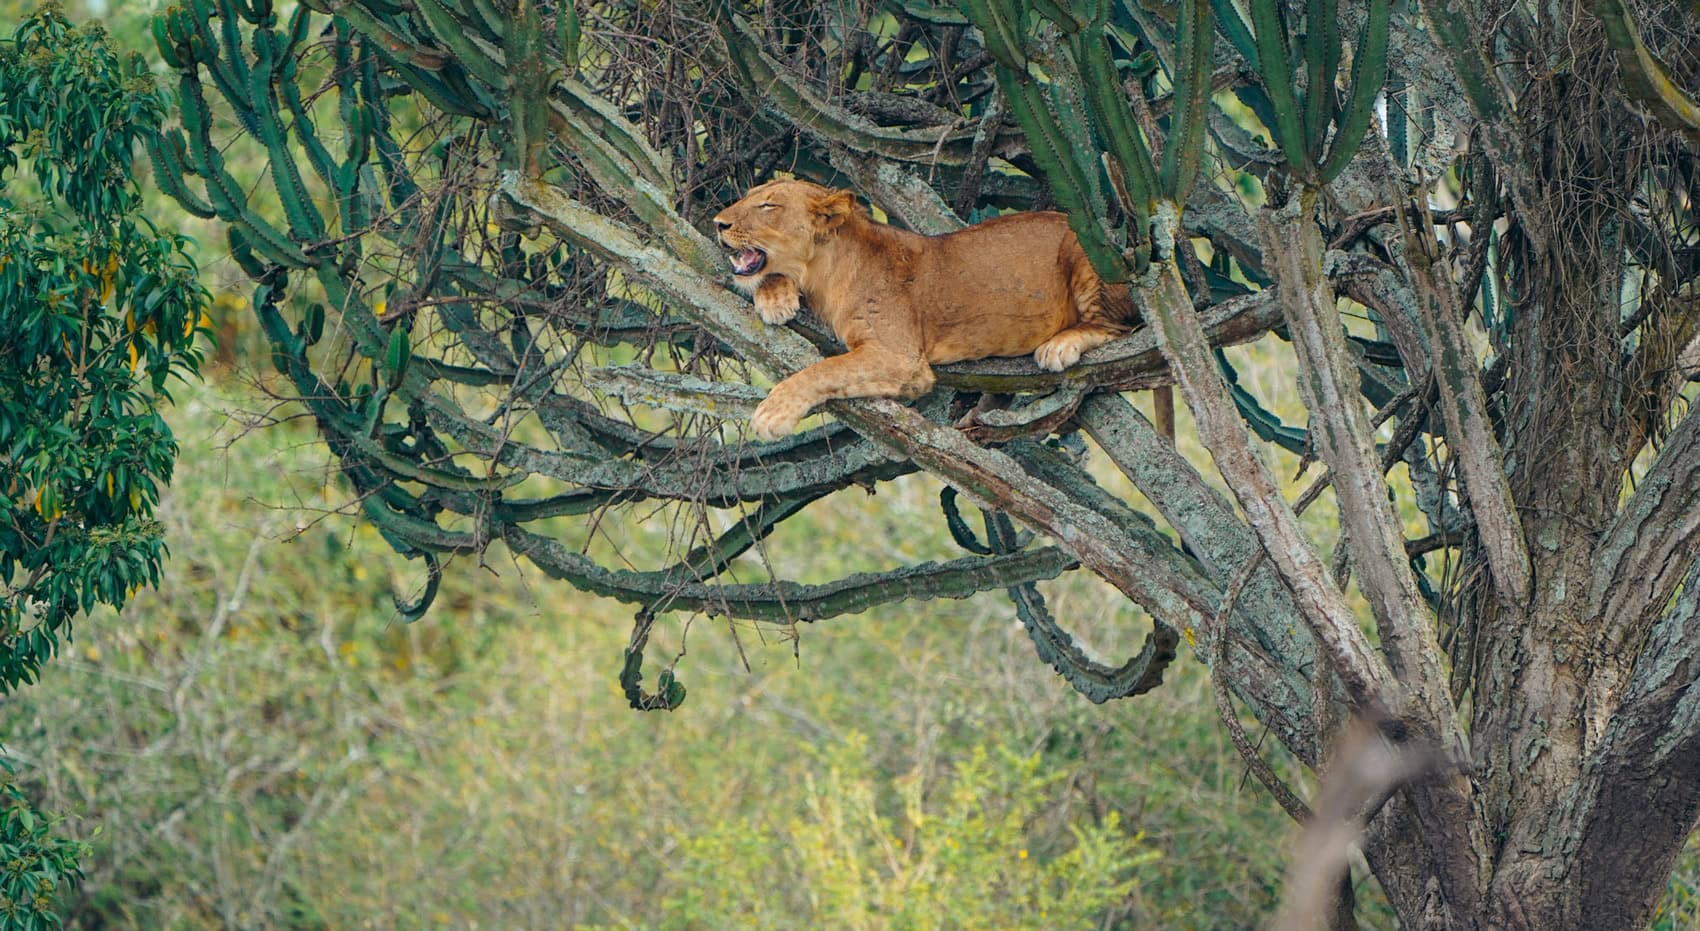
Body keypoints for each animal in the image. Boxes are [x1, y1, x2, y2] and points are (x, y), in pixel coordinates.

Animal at [713, 179, 1140, 440]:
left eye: (768, 205)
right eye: (749, 196)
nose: (718, 222)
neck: (825, 274)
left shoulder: (901, 357)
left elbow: (822, 370)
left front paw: (773, 414)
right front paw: (775, 297)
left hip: (1088, 257)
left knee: (1121, 326)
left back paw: (1060, 345)